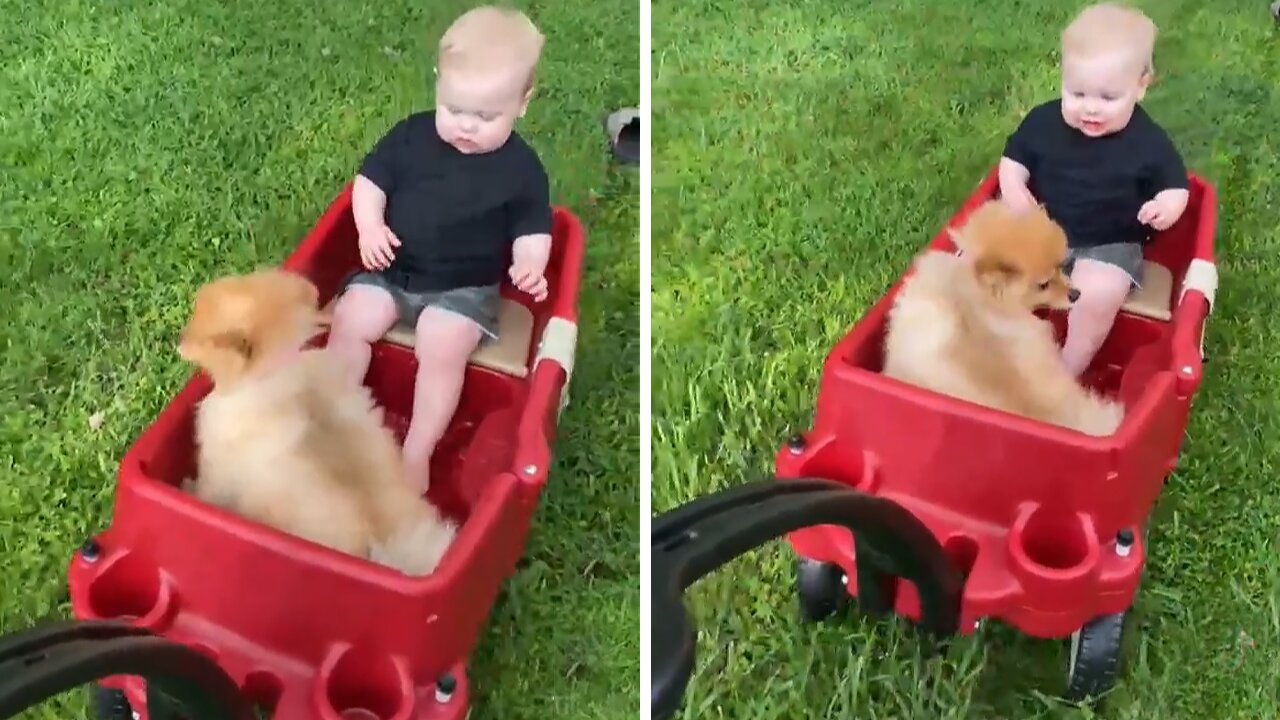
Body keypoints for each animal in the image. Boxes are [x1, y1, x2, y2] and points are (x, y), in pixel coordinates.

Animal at [177, 267, 458, 571]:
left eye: (198, 329)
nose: (179, 339)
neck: (273, 376)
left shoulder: (216, 474)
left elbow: (205, 490)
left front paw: (187, 488)